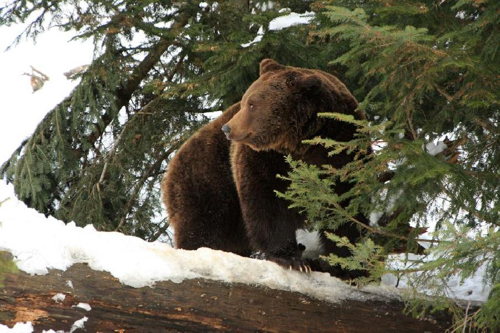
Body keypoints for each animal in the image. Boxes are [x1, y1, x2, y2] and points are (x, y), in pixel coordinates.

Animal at [162, 59, 370, 272]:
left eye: (252, 104)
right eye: (245, 101)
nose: (227, 128)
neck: (303, 143)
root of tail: (171, 166)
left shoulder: (345, 150)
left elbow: (346, 208)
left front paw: (346, 265)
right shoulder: (266, 159)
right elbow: (267, 201)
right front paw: (292, 259)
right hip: (208, 179)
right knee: (203, 227)